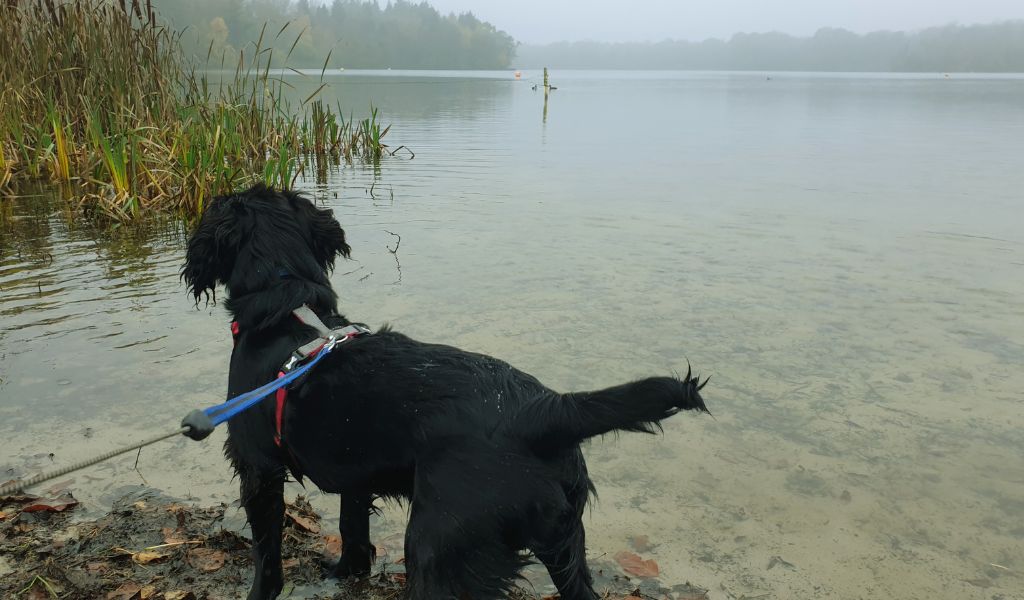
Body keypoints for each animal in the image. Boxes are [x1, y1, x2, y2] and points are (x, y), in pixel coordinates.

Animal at [182, 182, 712, 597]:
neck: (287, 308)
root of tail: (542, 410)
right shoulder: (355, 474)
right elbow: (353, 531)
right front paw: (346, 572)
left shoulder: (258, 467)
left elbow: (267, 559)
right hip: (564, 543)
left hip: (437, 546)